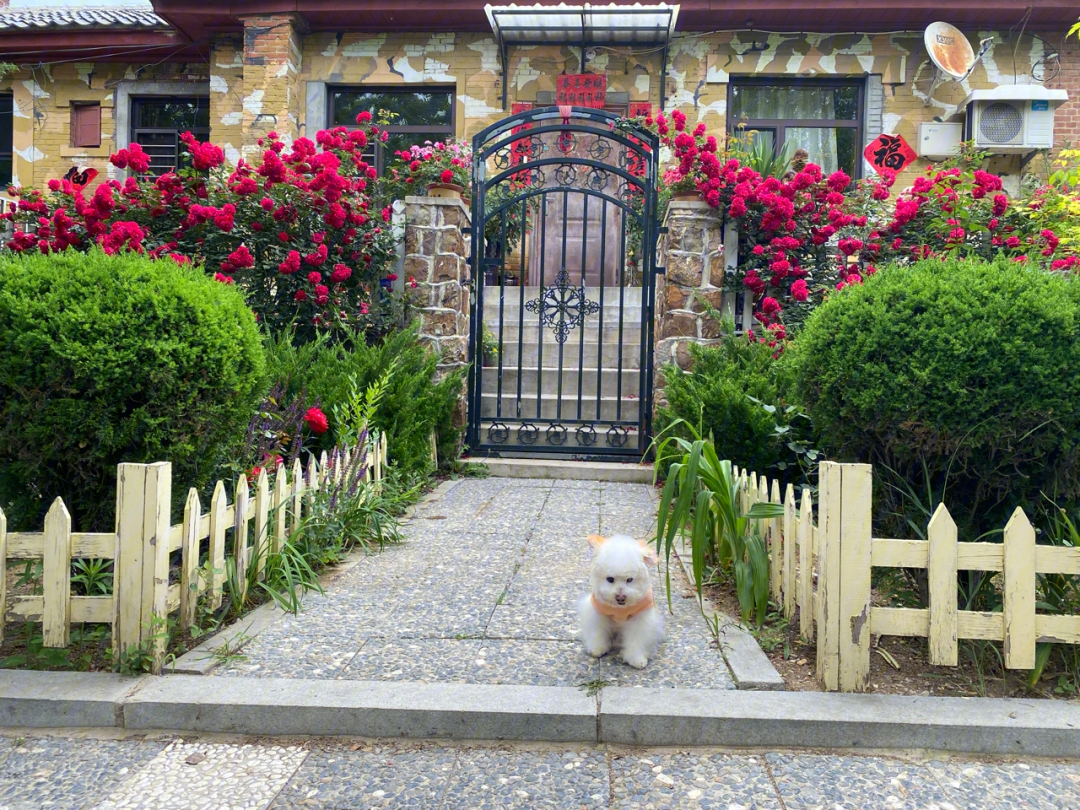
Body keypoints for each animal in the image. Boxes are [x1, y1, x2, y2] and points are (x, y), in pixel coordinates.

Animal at [578, 535, 660, 669]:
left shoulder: (640, 619)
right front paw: (597, 648)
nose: (620, 597)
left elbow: (637, 639)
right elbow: (598, 631)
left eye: (630, 579)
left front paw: (636, 658)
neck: (621, 609)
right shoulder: (598, 612)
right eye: (610, 579)